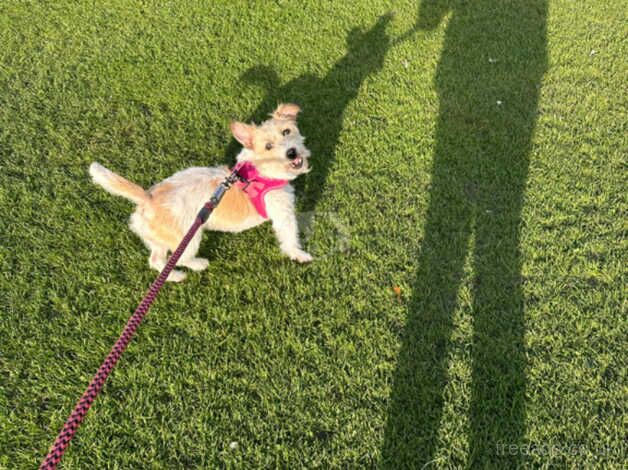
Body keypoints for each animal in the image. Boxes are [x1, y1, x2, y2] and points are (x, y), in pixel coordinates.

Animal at [87, 103, 312, 280]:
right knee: (180, 258)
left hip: (160, 239)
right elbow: (289, 236)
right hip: (188, 238)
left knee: (156, 260)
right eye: (268, 146)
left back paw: (175, 276)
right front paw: (300, 255)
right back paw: (198, 264)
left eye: (286, 132)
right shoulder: (283, 214)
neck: (260, 170)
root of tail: (148, 198)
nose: (291, 152)